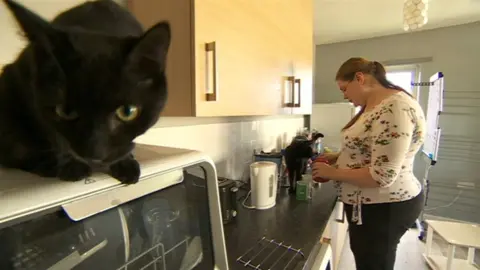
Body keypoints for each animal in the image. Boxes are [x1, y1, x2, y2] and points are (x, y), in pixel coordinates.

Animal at [0, 0, 172, 184]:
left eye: (127, 112)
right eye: (65, 111)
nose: (93, 155)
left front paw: (125, 162)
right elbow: (57, 137)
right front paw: (72, 166)